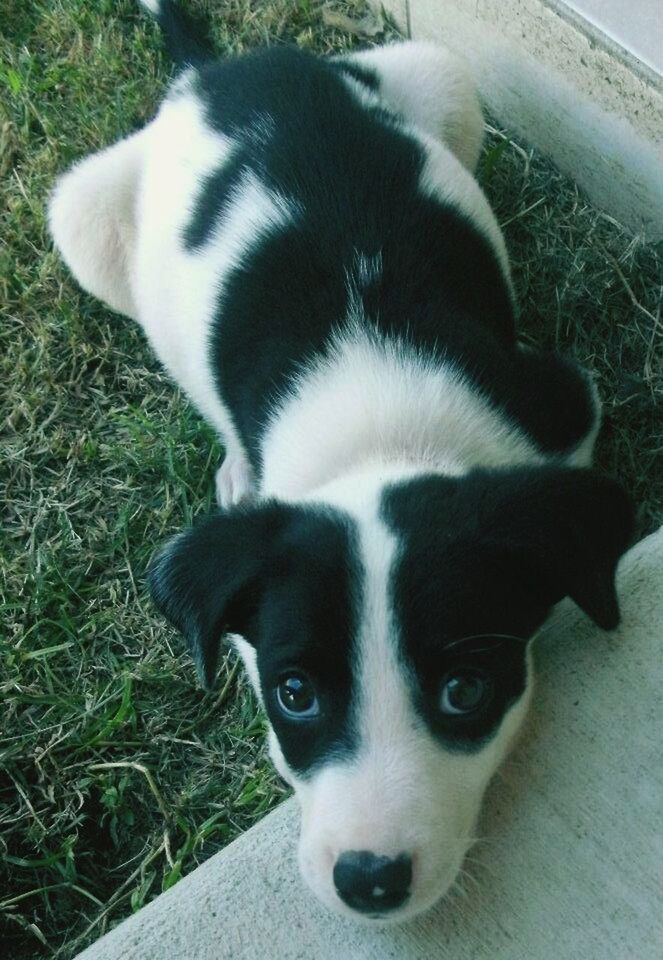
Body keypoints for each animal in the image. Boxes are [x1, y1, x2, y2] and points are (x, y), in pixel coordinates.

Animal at [49, 0, 636, 924]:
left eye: (464, 690)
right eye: (295, 694)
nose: (369, 881)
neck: (381, 427)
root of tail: (217, 73)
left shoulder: (560, 400)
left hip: (443, 79)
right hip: (83, 219)